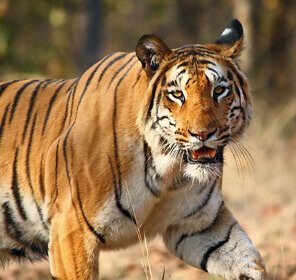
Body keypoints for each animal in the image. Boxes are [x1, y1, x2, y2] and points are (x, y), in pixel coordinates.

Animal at [0, 18, 268, 278]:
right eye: (177, 94)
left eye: (219, 91)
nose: (202, 134)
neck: (169, 171)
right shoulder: (71, 230)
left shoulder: (199, 226)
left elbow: (248, 259)